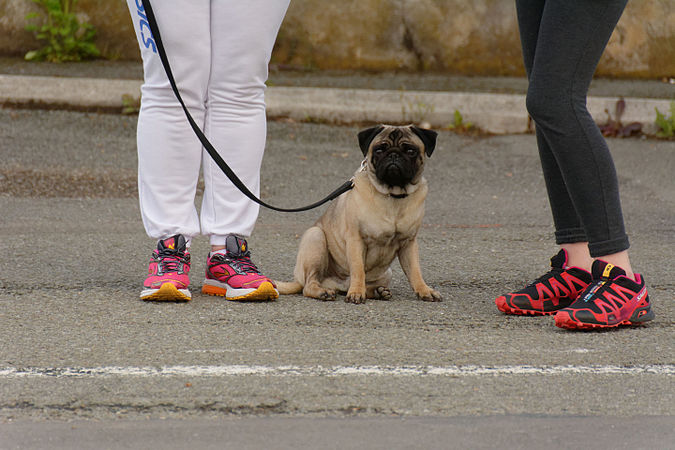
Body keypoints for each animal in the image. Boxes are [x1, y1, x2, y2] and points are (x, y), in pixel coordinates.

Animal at [276, 125, 444, 304]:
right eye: (379, 149)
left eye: (410, 150)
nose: (393, 154)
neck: (393, 195)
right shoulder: (356, 239)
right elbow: (358, 269)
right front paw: (356, 292)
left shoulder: (409, 243)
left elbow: (415, 272)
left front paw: (424, 290)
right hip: (315, 239)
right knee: (309, 284)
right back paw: (324, 292)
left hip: (386, 273)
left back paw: (378, 291)